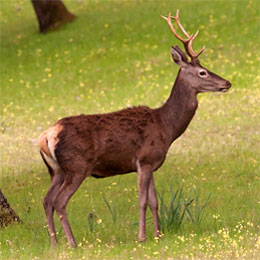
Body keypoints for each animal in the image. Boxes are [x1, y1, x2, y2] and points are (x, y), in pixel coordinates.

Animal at [37, 10, 231, 248]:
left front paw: (158, 235)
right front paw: (142, 237)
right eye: (203, 72)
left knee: (46, 200)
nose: (227, 82)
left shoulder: (153, 162)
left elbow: (155, 201)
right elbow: (142, 201)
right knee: (60, 201)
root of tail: (46, 135)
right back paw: (72, 243)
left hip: (55, 170)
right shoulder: (144, 159)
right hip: (76, 165)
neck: (167, 127)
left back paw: (54, 244)